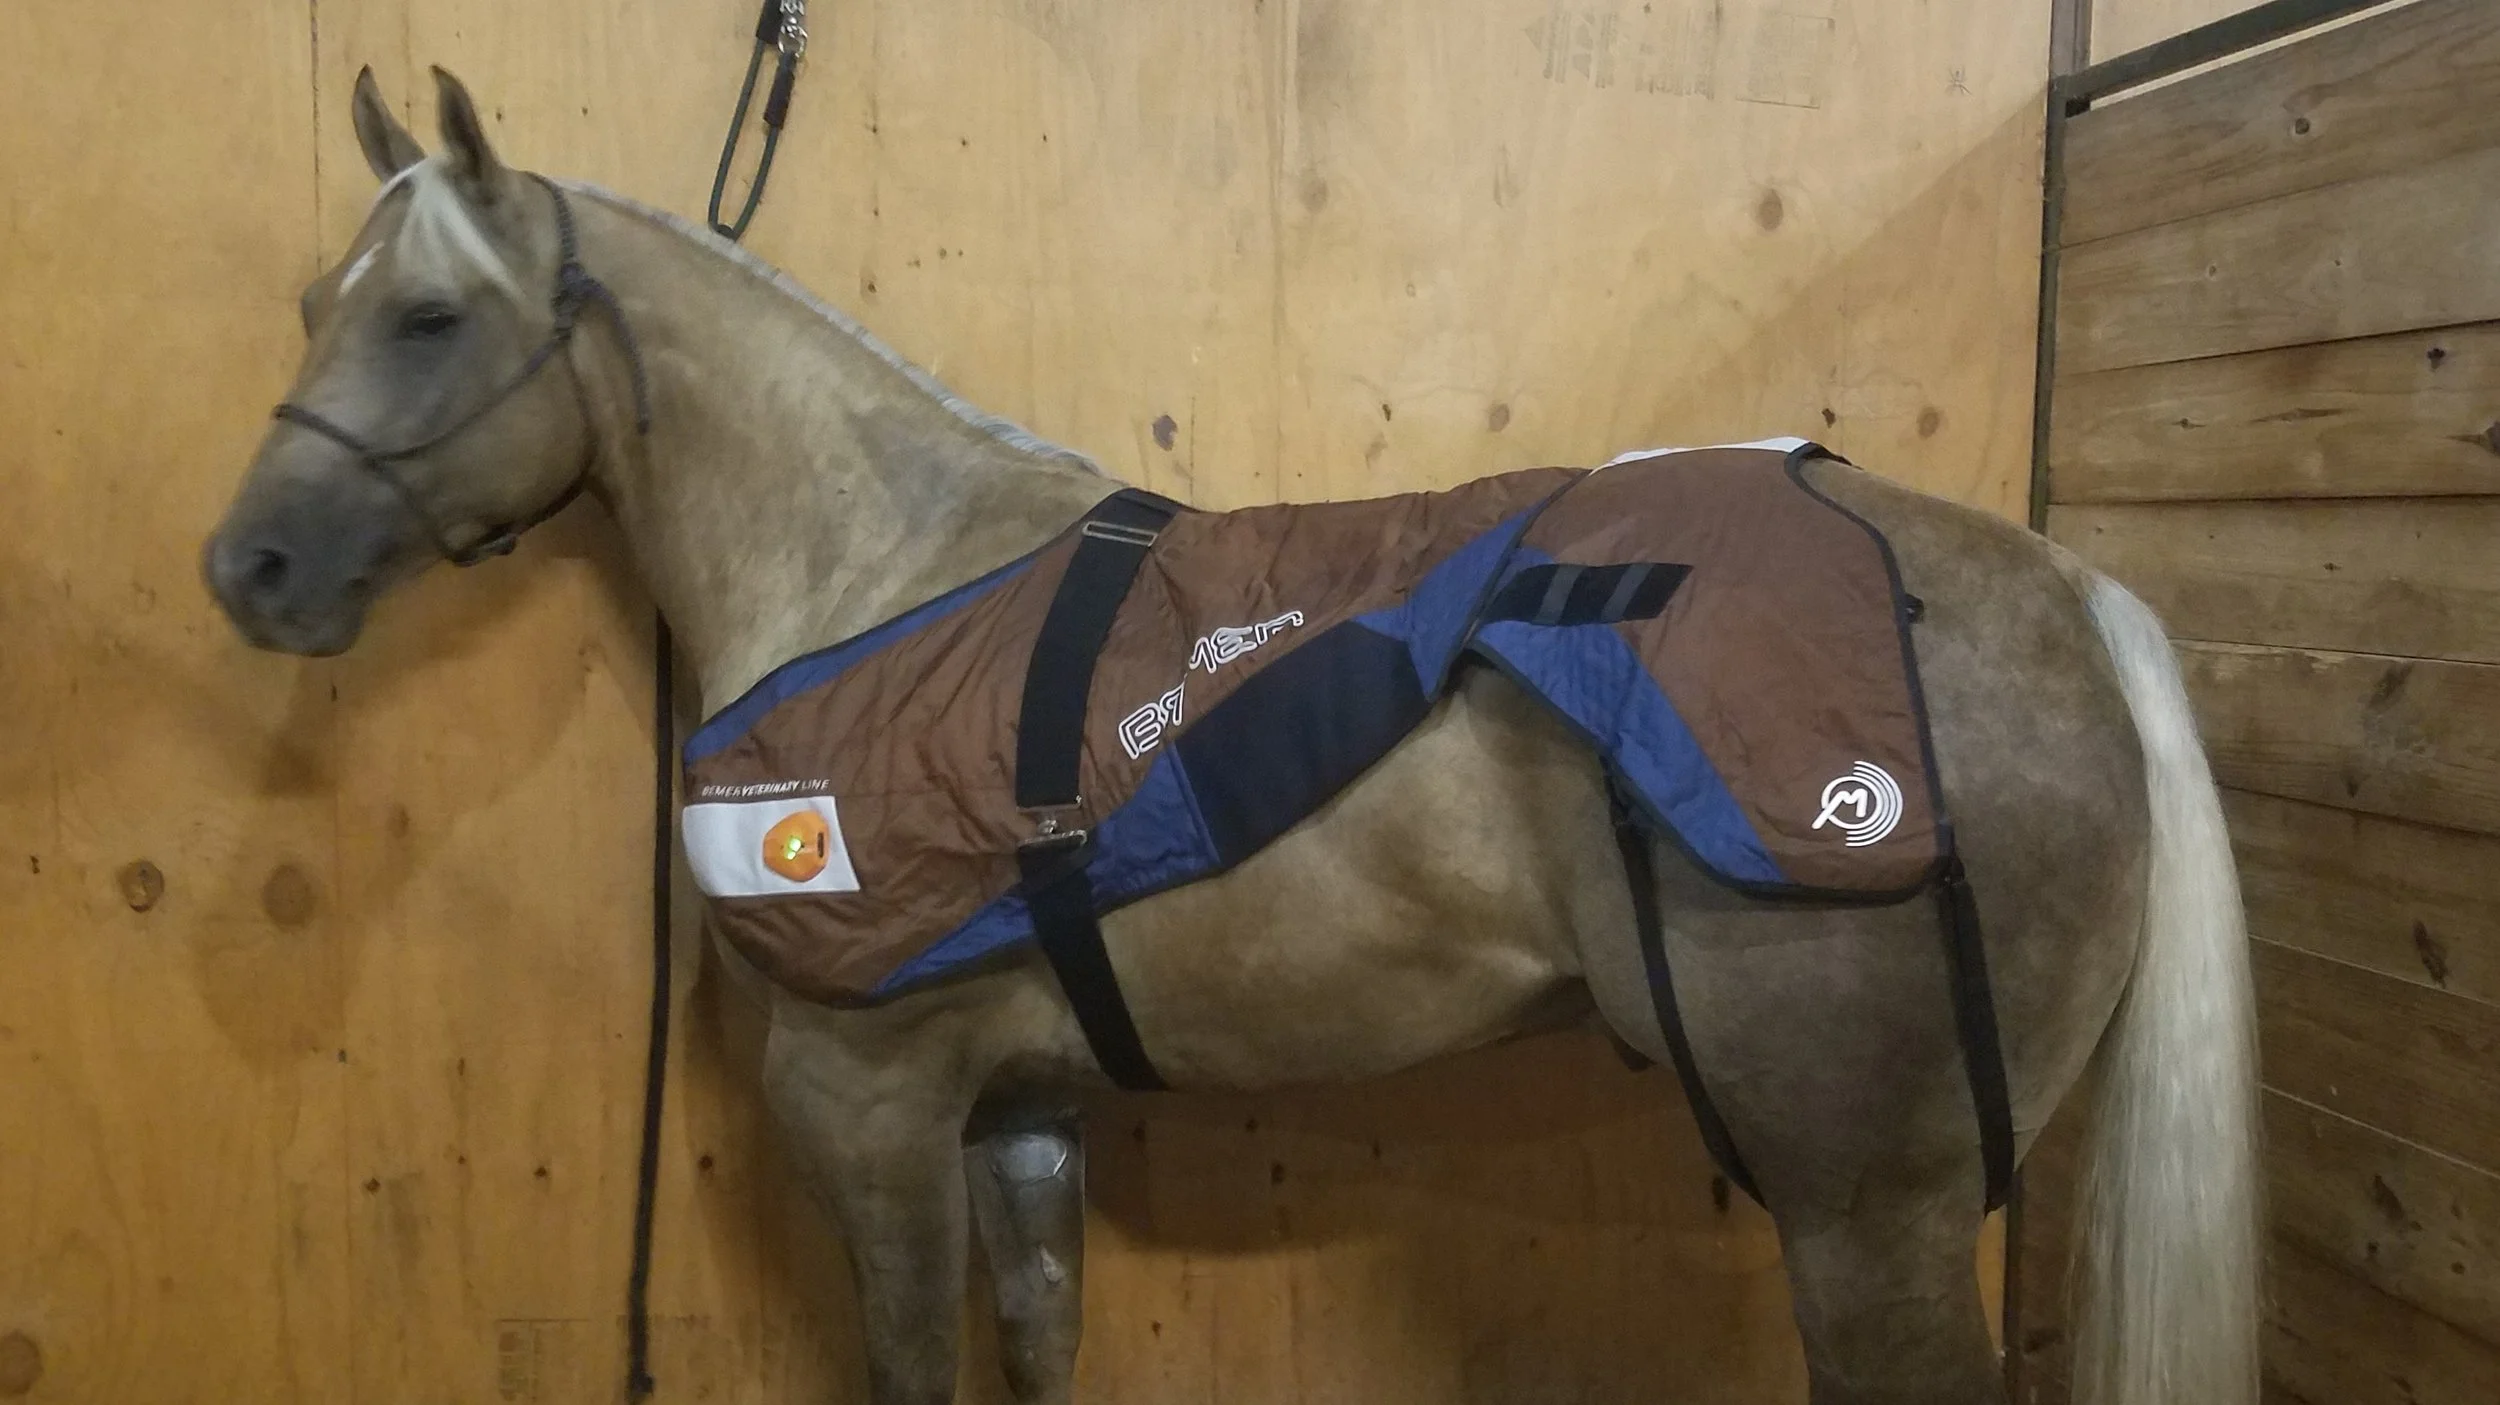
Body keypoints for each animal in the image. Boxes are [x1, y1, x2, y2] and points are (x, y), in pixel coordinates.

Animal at [201, 68, 2258, 1405]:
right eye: (312, 302)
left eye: (431, 316)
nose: (252, 568)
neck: (874, 570)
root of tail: (2055, 592)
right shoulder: (1020, 1114)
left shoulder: (866, 1105)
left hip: (1864, 1211)